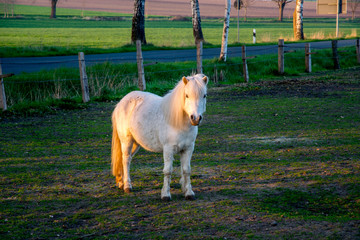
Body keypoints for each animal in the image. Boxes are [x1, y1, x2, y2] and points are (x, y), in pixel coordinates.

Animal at [112, 73, 208, 201]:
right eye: (187, 95)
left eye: (204, 95)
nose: (196, 118)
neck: (178, 122)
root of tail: (122, 101)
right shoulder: (168, 149)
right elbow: (168, 171)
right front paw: (165, 195)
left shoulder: (188, 148)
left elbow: (186, 170)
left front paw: (188, 193)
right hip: (127, 141)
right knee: (126, 160)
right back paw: (127, 186)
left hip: (136, 143)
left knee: (125, 160)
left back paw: (121, 183)